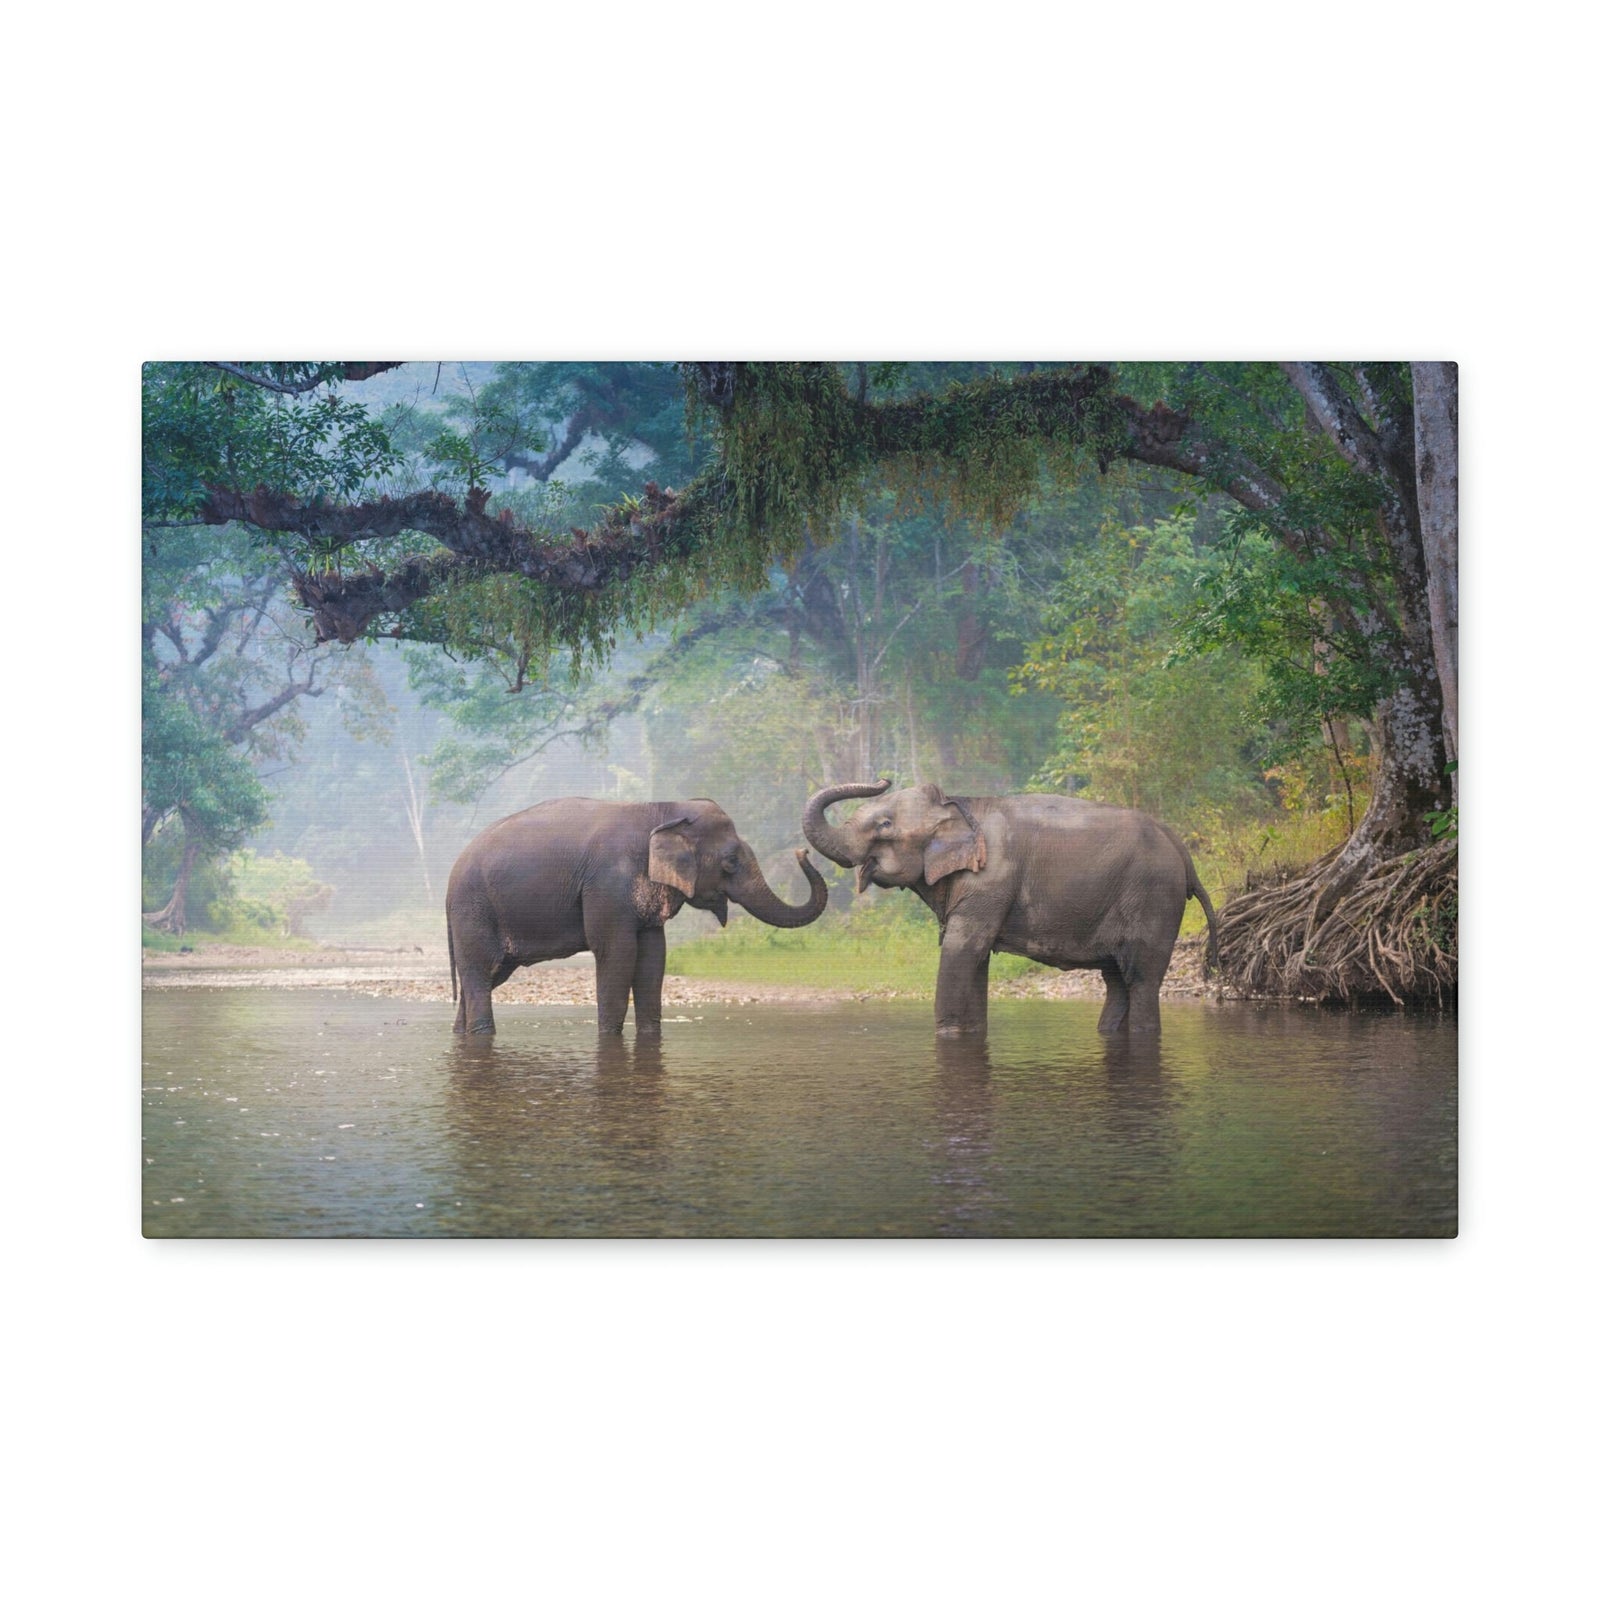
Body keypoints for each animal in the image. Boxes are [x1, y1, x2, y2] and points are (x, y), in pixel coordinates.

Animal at [447, 797, 827, 1035]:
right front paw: (609, 1037)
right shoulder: (607, 885)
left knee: (486, 976)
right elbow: (617, 953)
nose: (802, 851)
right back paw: (482, 1033)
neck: (661, 809)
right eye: (731, 862)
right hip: (473, 910)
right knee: (481, 972)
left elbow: (653, 957)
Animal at [802, 778, 1218, 1036]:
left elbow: (962, 950)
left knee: (1141, 979)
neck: (961, 805)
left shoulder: (990, 880)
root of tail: (1182, 851)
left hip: (1154, 898)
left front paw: (947, 1034)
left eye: (885, 825)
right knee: (1116, 980)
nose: (883, 778)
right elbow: (976, 960)